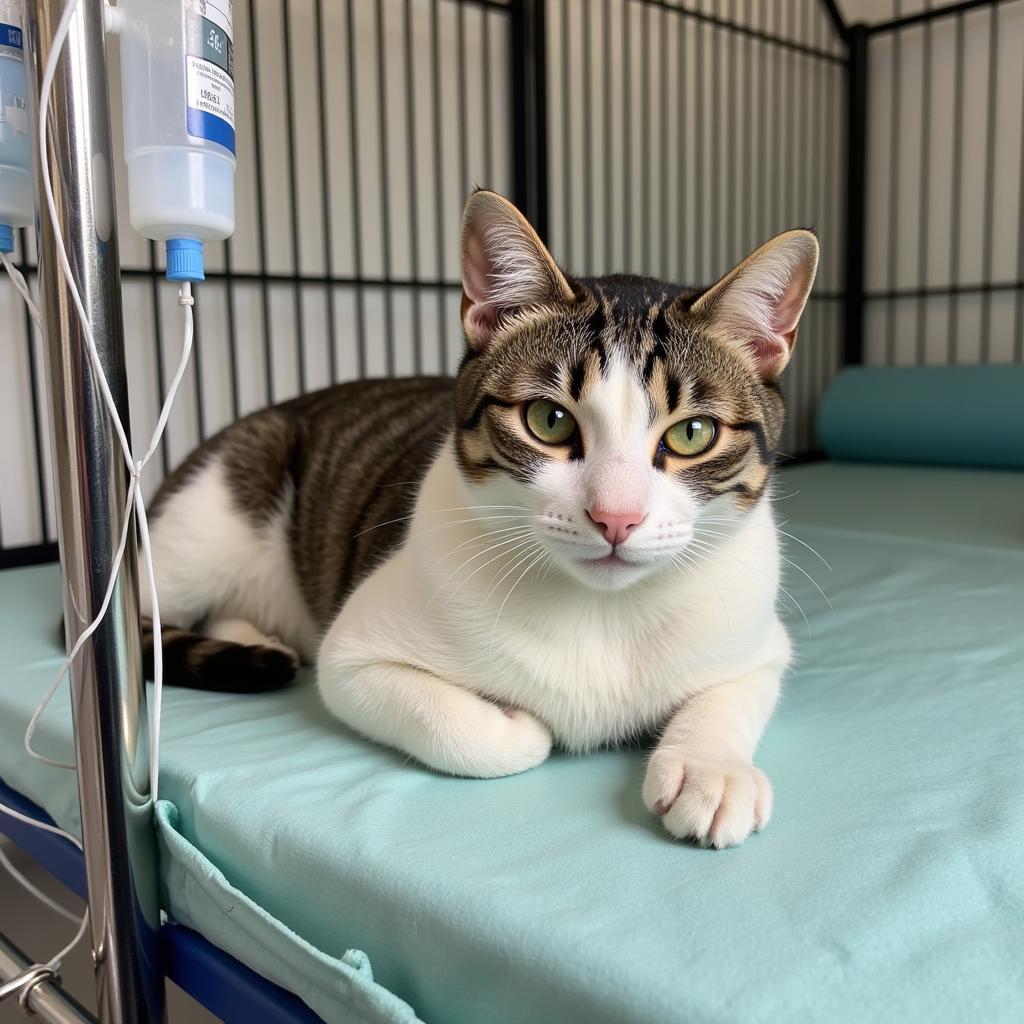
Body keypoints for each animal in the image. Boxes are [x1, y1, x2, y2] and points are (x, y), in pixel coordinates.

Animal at [142, 192, 815, 847]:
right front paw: (520, 724)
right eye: (549, 420)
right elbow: (459, 727)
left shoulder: (757, 640)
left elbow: (732, 692)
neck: (603, 611)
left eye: (692, 433)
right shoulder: (352, 655)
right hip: (207, 522)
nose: (615, 517)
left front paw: (711, 769)